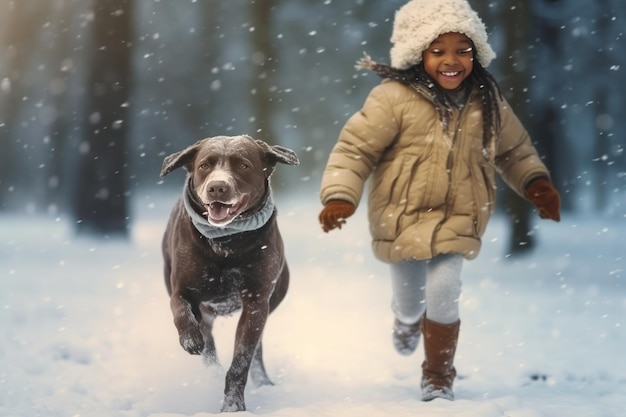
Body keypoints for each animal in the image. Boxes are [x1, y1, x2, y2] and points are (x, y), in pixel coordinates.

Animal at [160, 135, 298, 412]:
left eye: (243, 165)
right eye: (204, 165)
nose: (217, 187)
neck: (226, 242)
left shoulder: (256, 301)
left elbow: (242, 360)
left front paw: (233, 407)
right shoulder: (181, 288)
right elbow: (180, 310)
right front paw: (190, 339)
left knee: (257, 350)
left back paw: (262, 382)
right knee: (208, 343)